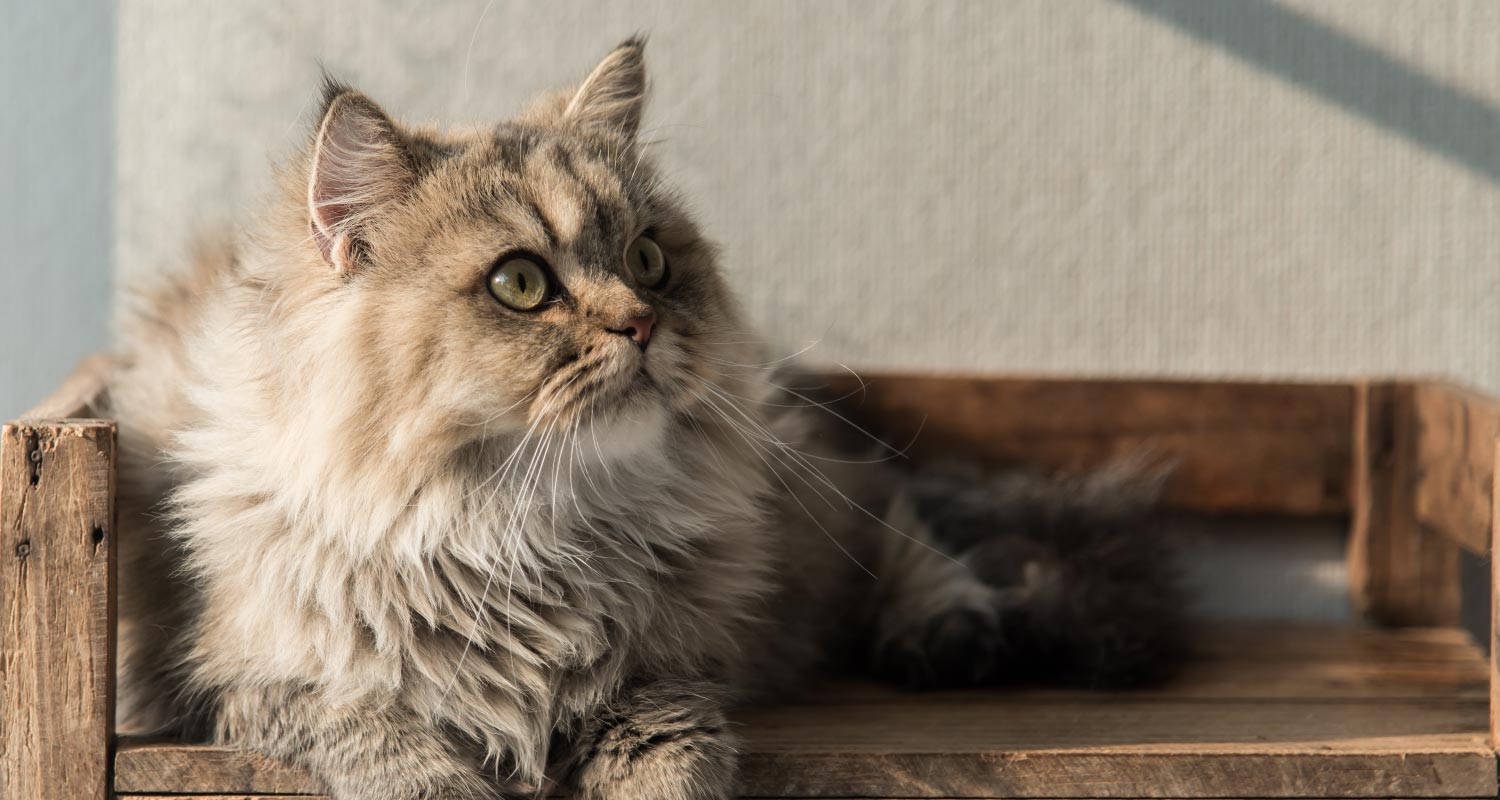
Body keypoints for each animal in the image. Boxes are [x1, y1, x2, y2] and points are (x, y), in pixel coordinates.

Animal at [111, 37, 1182, 798]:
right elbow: (386, 744)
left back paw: (947, 630)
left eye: (650, 259)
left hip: (809, 485)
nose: (641, 322)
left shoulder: (663, 672)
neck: (506, 532)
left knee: (900, 518)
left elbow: (664, 751)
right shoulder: (248, 684)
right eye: (520, 283)